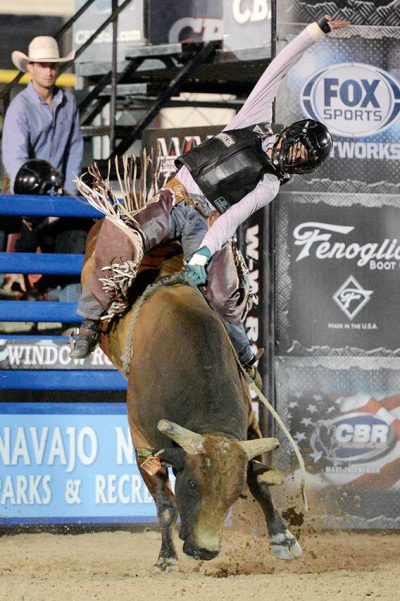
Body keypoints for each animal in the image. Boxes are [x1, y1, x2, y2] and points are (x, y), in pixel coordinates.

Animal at [81, 221, 300, 572]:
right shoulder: (143, 442)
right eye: (194, 484)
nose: (205, 550)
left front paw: (283, 538)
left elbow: (258, 481)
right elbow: (166, 504)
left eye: (232, 495)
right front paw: (166, 558)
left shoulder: (250, 424)